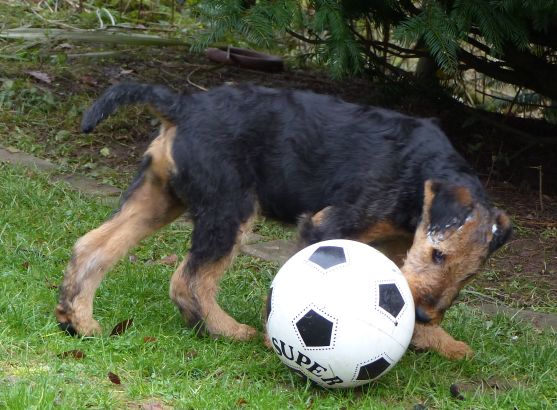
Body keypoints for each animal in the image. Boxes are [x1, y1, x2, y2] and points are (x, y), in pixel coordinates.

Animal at [55, 83, 512, 360]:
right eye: (438, 254)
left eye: (468, 276)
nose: (427, 317)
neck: (419, 177)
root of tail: (184, 106)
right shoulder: (325, 225)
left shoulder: (398, 247)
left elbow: (404, 292)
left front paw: (439, 342)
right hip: (229, 208)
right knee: (190, 280)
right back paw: (230, 332)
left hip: (159, 197)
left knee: (93, 246)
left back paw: (79, 320)